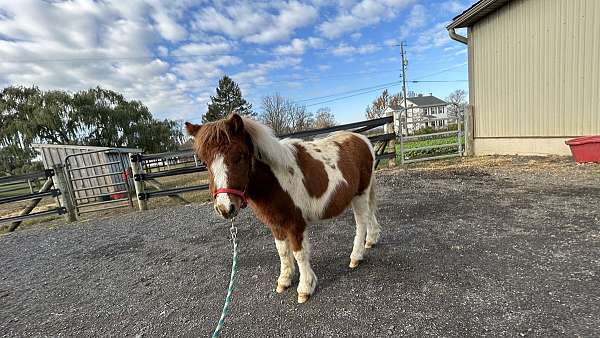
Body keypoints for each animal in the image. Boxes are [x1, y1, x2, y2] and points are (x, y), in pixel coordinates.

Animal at [185, 113, 382, 304]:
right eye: (204, 162)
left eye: (239, 156)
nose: (225, 208)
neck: (276, 180)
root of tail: (362, 139)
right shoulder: (275, 224)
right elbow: (282, 251)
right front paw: (285, 280)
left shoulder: (295, 224)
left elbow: (299, 253)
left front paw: (305, 288)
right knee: (370, 215)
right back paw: (371, 240)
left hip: (360, 194)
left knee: (361, 222)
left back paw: (356, 256)